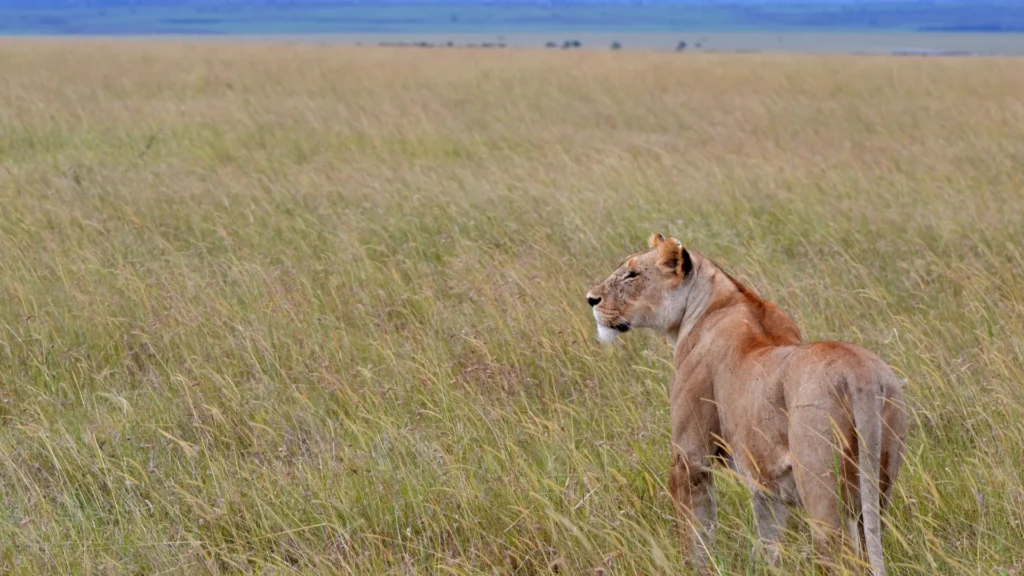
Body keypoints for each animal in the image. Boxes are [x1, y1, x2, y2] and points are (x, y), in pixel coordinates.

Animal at [586, 234, 907, 575]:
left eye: (632, 274)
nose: (591, 299)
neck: (714, 301)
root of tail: (860, 373)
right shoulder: (767, 483)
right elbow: (767, 540)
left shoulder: (690, 455)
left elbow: (695, 531)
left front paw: (692, 566)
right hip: (879, 482)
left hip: (822, 488)